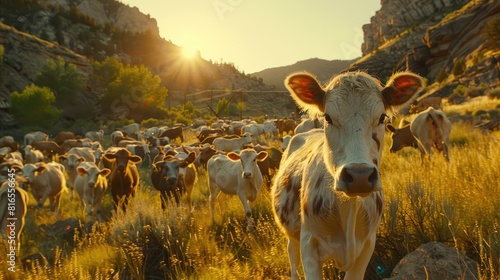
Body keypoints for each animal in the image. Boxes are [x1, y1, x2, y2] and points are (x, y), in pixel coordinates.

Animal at [270, 70, 422, 278]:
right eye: (327, 117)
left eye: (382, 117)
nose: (359, 176)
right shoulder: (308, 243)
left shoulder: (367, 246)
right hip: (292, 236)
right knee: (293, 260)